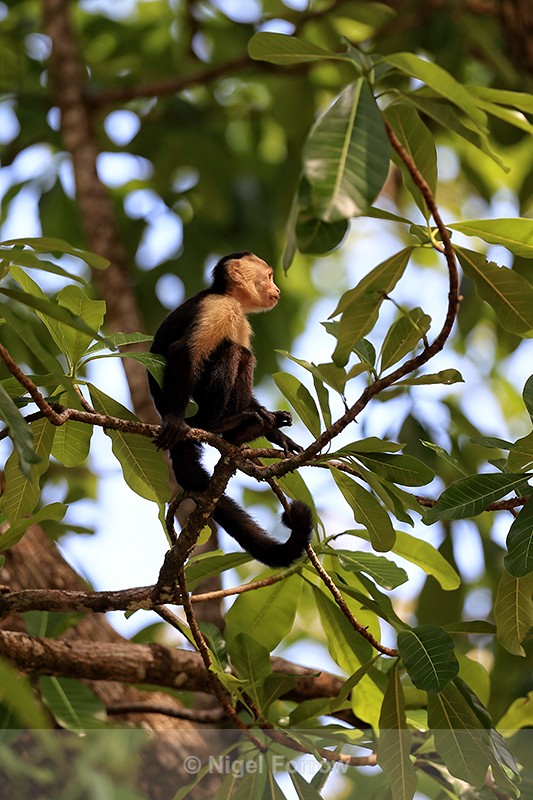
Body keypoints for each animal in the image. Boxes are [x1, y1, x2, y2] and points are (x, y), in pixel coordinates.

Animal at [148, 251, 313, 568]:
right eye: (270, 276)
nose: (278, 289)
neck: (229, 298)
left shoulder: (241, 320)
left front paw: (278, 434)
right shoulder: (217, 308)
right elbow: (182, 351)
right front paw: (176, 420)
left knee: (243, 355)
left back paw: (243, 431)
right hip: (195, 409)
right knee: (231, 352)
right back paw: (214, 425)